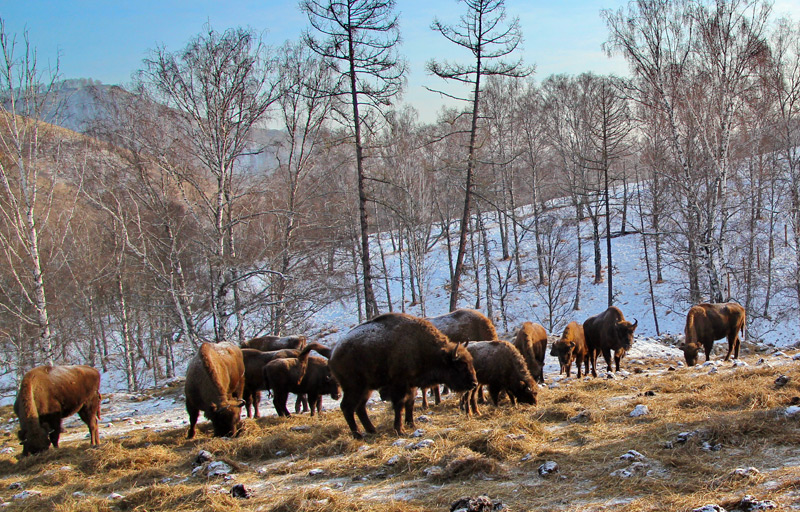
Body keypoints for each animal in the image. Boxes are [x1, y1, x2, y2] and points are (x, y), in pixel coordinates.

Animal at [330, 314, 478, 438]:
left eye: (470, 362)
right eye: (461, 365)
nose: (474, 383)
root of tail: (333, 354)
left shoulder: (411, 385)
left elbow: (410, 403)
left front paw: (411, 424)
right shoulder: (399, 385)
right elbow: (400, 405)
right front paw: (400, 430)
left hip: (367, 388)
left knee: (360, 407)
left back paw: (372, 430)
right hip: (355, 388)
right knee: (347, 407)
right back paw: (358, 435)